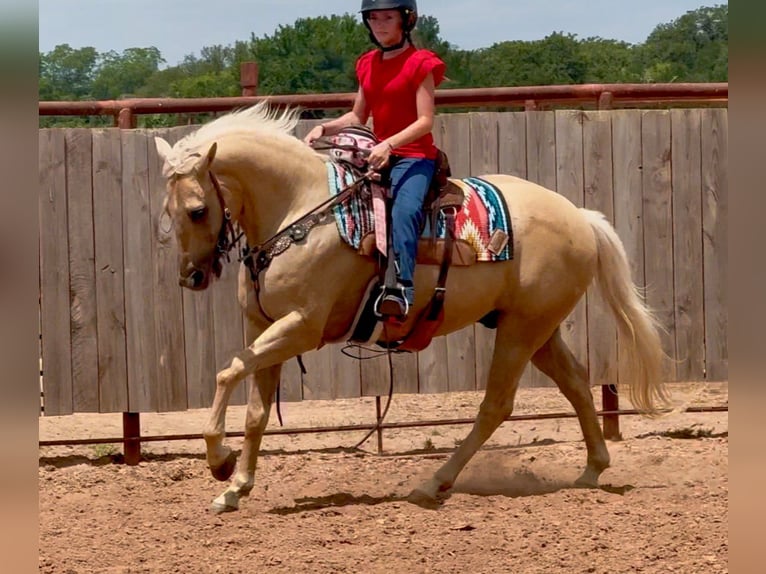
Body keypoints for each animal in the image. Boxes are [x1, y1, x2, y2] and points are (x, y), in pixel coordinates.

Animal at [154, 101, 670, 514]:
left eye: (198, 210)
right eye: (169, 210)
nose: (191, 277)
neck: (303, 210)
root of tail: (579, 216)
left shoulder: (301, 326)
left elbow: (226, 373)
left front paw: (219, 462)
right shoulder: (261, 326)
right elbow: (255, 409)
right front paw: (235, 488)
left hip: (522, 331)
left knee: (496, 405)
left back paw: (433, 483)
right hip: (538, 329)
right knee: (577, 384)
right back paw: (592, 470)